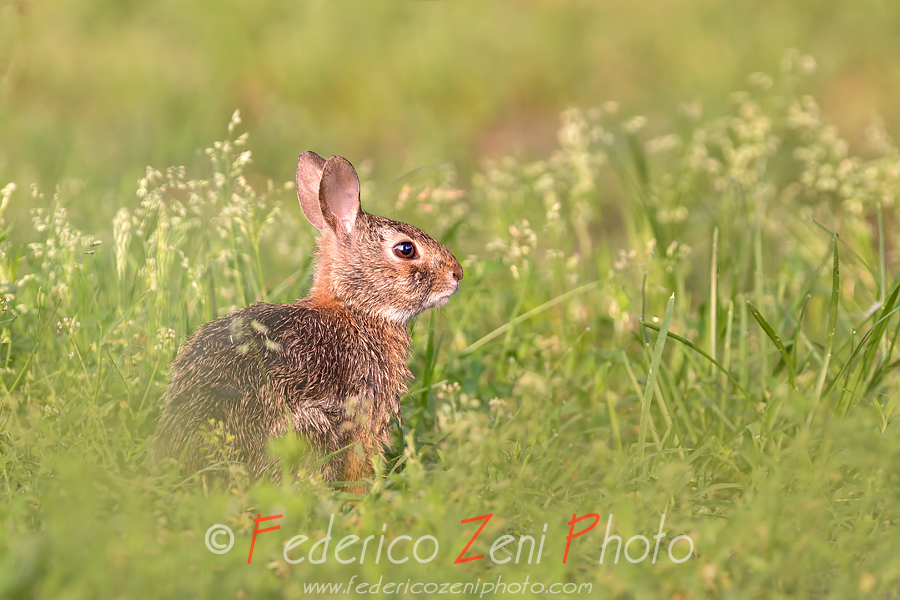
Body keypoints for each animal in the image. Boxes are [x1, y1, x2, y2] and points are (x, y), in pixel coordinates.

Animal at [149, 151, 464, 492]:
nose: (457, 274)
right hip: (310, 427)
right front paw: (363, 495)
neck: (353, 307)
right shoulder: (364, 416)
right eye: (406, 249)